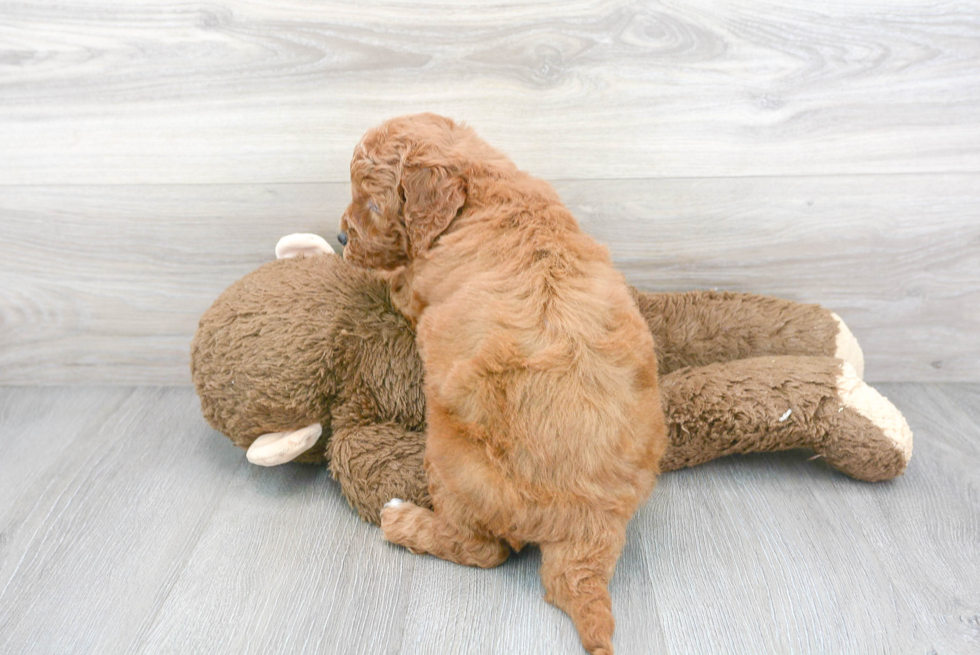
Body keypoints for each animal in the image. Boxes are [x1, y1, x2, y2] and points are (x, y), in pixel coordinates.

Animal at [336, 114, 668, 655]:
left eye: (373, 201)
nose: (341, 238)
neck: (482, 189)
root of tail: (588, 522)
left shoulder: (418, 291)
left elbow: (400, 282)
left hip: (451, 457)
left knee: (482, 548)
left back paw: (402, 520)